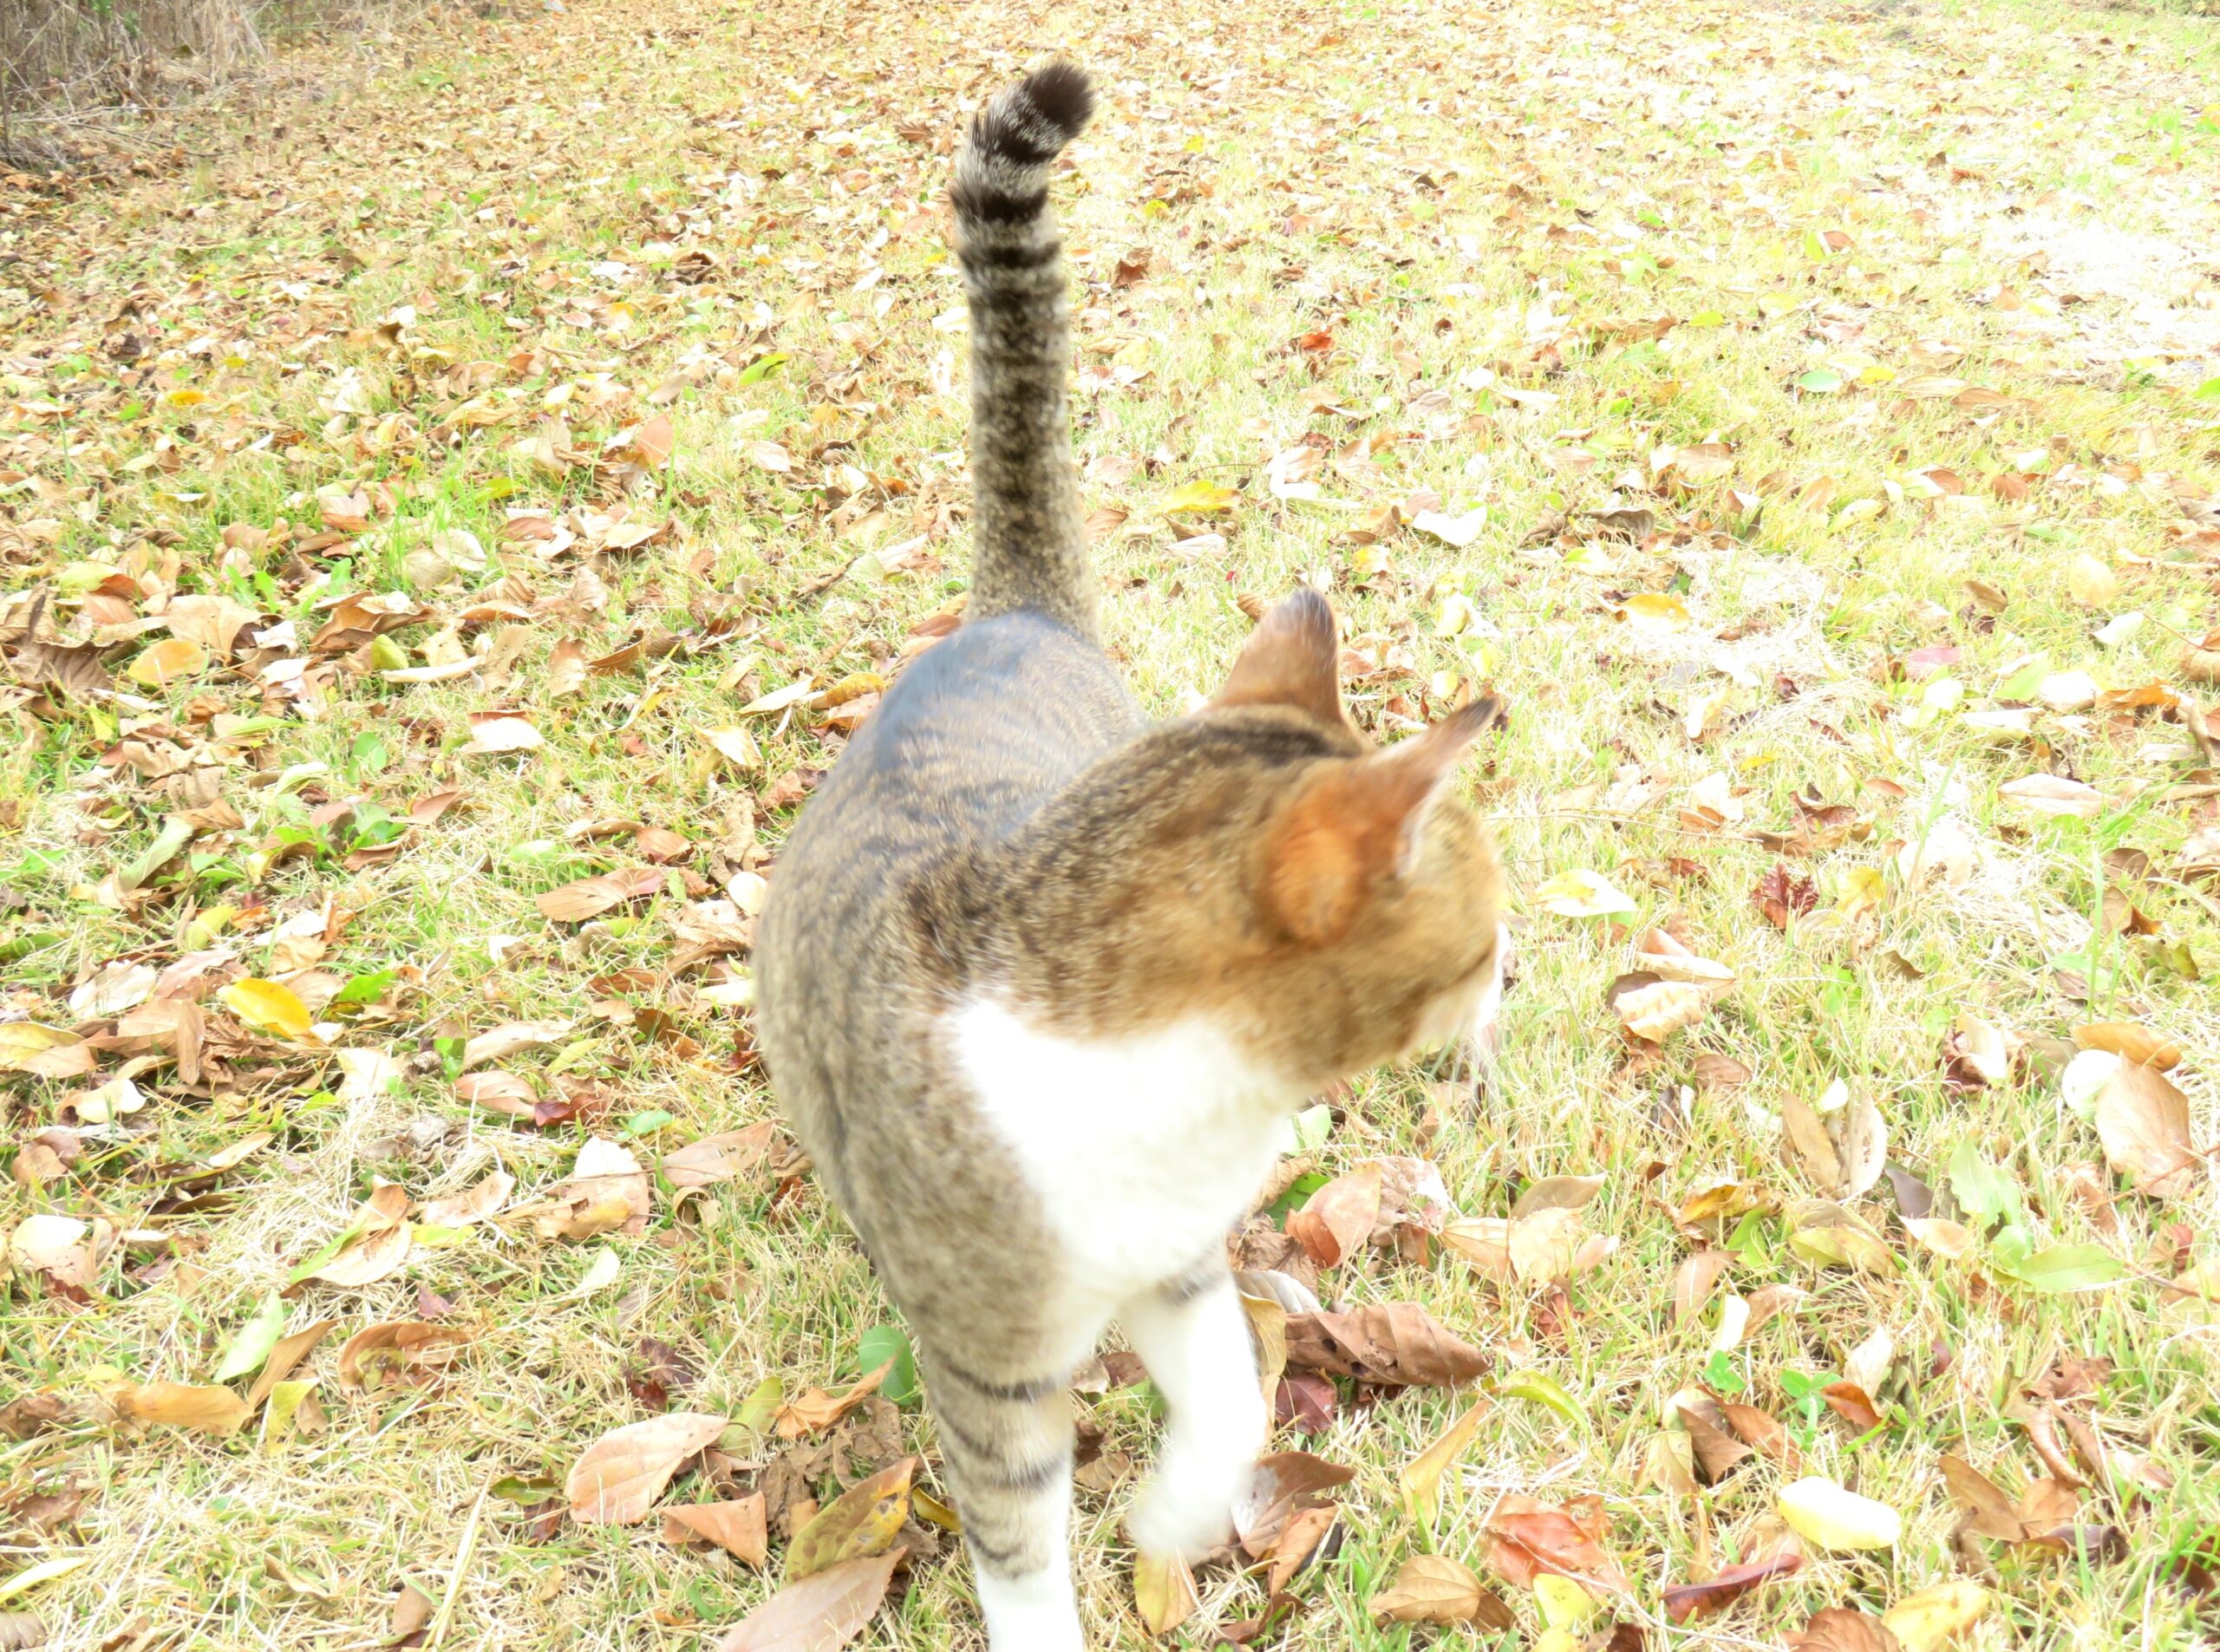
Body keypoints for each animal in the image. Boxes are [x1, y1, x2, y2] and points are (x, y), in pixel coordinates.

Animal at [759, 57, 1509, 1642]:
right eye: (1484, 938)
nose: (1514, 980)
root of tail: (1009, 613)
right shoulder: (989, 1368)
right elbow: (1016, 1538)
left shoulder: (1177, 1257)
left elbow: (1229, 1395)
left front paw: (1178, 1515)